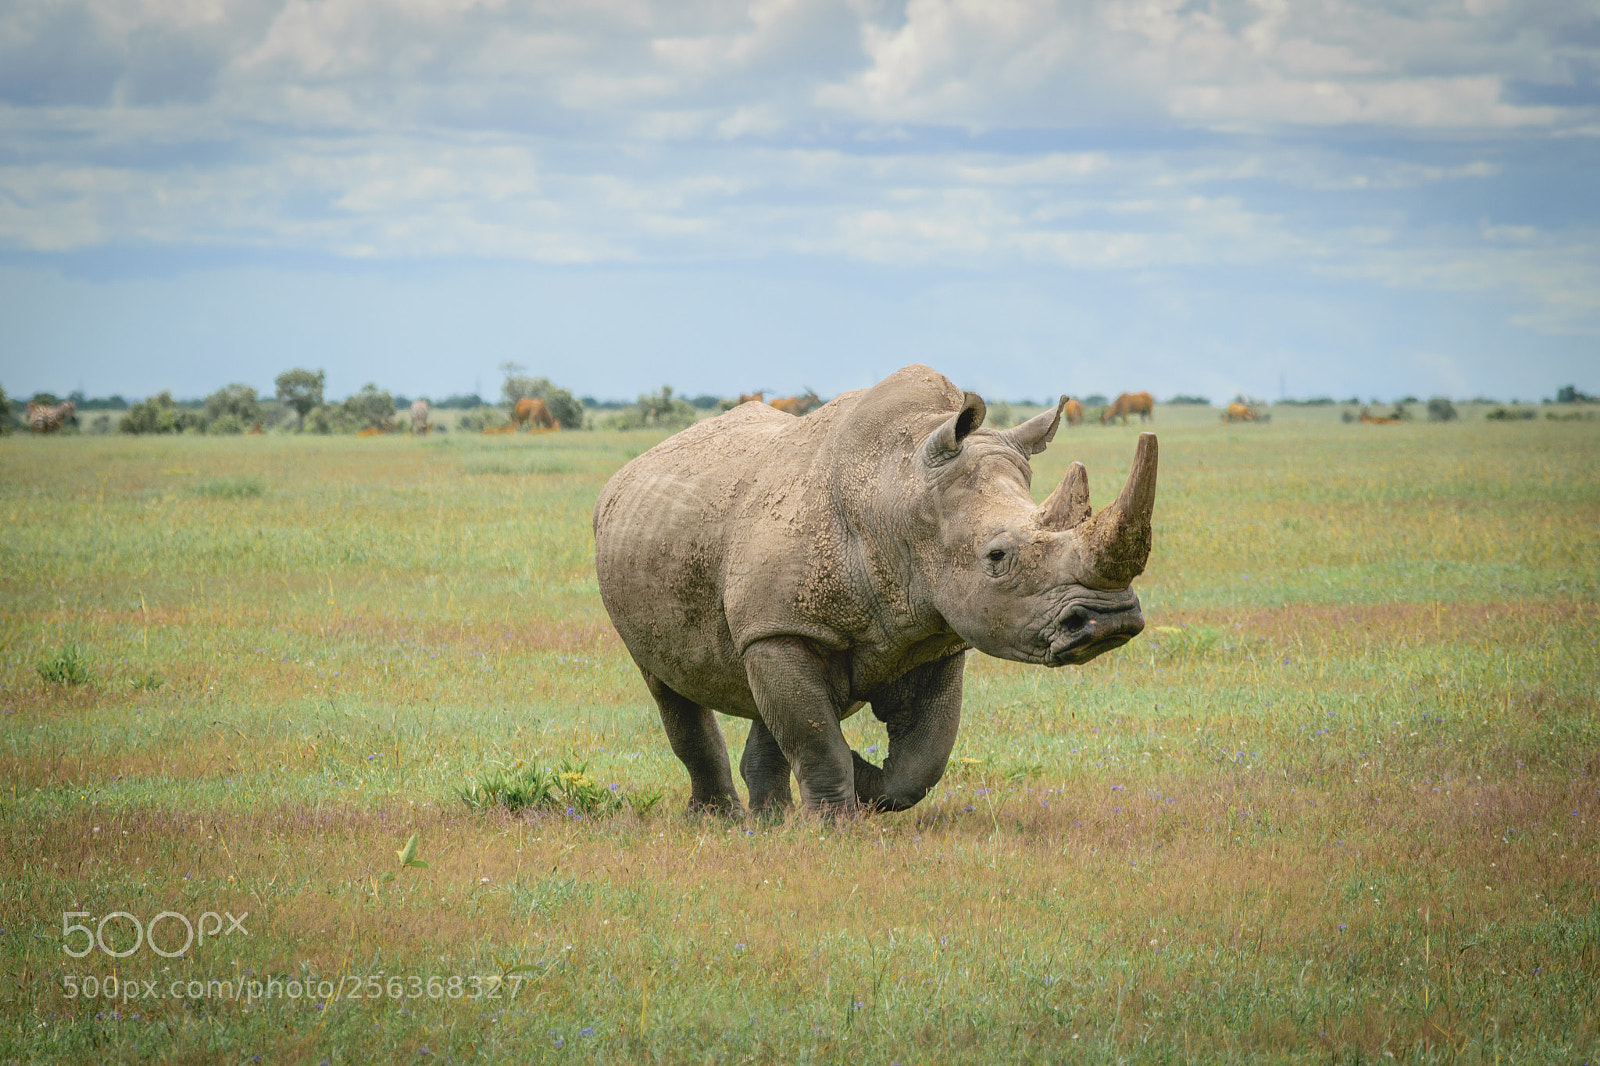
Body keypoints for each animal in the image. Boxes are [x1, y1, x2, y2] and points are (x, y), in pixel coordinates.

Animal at [593, 365, 1158, 816]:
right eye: (997, 558)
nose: (1110, 621)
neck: (900, 494)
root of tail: (628, 470)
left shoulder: (939, 635)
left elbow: (923, 760)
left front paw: (864, 781)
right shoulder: (783, 628)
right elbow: (817, 740)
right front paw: (833, 827)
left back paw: (768, 822)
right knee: (668, 686)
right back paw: (721, 821)